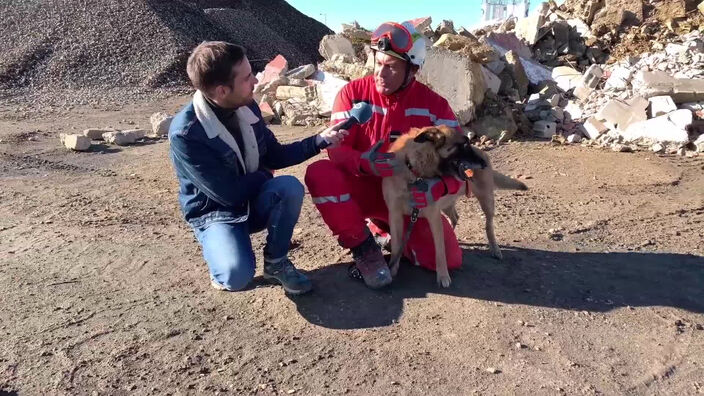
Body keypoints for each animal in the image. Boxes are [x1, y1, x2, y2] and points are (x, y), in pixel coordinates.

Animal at [382, 125, 524, 286]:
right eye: (464, 145)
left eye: (468, 143)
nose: (484, 163)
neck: (414, 173)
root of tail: (482, 151)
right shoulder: (395, 216)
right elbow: (396, 247)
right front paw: (392, 269)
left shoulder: (434, 218)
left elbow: (440, 251)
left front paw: (443, 276)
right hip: (446, 205)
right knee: (455, 217)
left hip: (486, 200)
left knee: (489, 225)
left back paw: (495, 249)